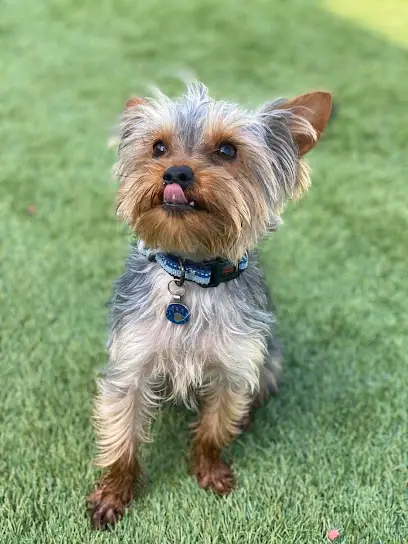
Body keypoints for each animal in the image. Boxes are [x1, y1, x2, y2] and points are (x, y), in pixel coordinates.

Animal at [87, 83, 332, 528]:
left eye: (227, 150)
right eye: (159, 147)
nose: (176, 173)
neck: (191, 276)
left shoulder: (232, 369)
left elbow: (213, 430)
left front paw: (209, 469)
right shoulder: (129, 367)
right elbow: (122, 438)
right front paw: (114, 493)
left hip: (270, 357)